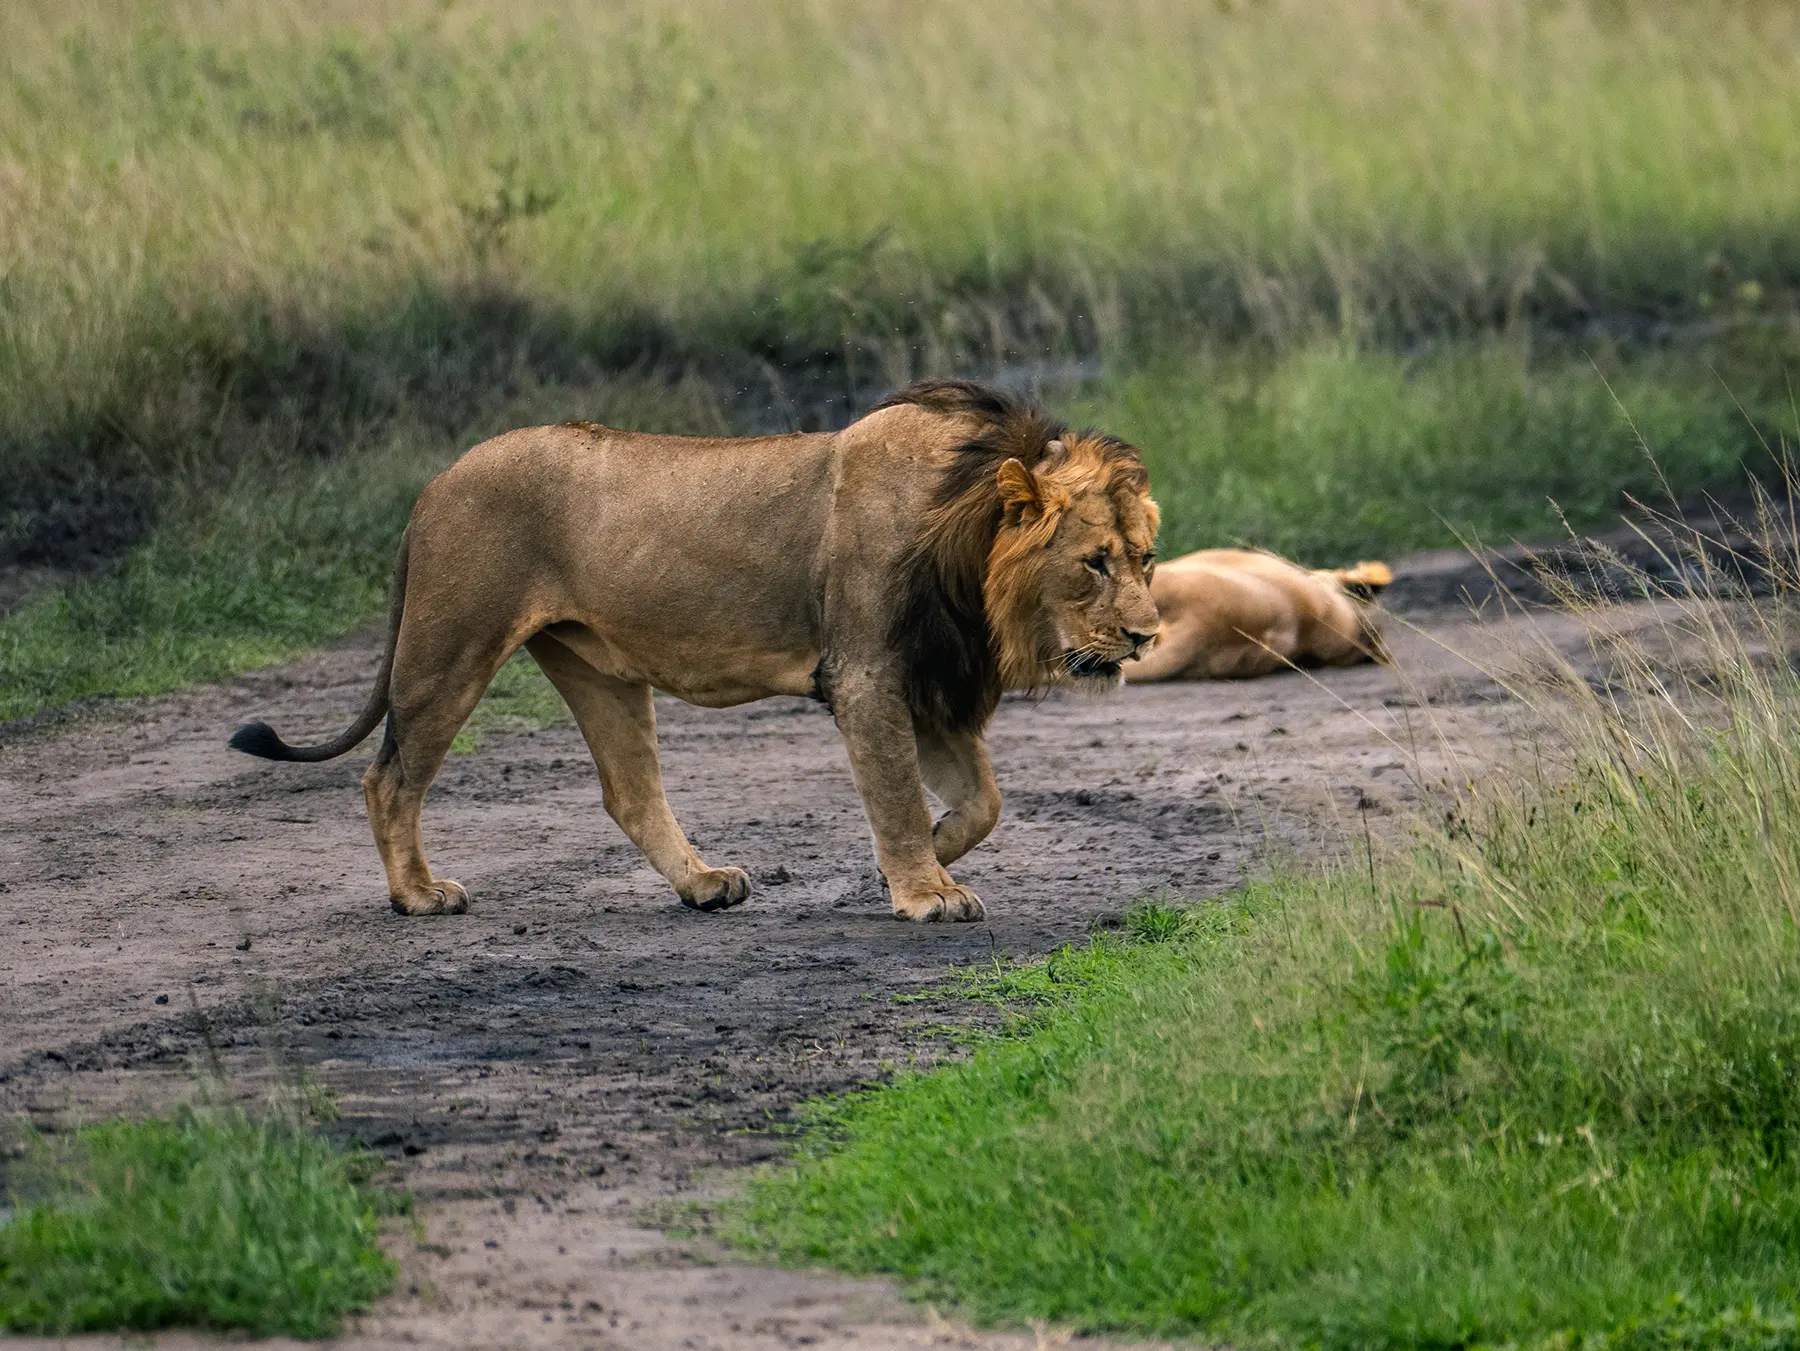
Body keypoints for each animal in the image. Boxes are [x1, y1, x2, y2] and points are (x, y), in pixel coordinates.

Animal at [227, 379, 1161, 923]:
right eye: (1093, 562)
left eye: (1147, 558)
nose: (1148, 636)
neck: (965, 533)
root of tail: (434, 484)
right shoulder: (867, 675)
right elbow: (895, 794)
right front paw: (925, 892)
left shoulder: (926, 683)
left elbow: (985, 799)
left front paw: (922, 856)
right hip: (449, 649)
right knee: (389, 777)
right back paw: (418, 894)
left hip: (596, 669)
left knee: (630, 793)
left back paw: (703, 882)